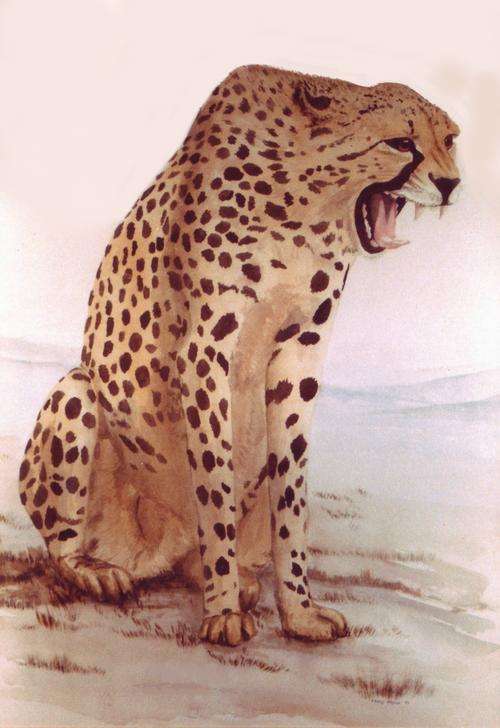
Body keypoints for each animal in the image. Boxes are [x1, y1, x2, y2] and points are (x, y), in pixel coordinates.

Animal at [19, 65, 460, 646]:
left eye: (449, 140)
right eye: (400, 143)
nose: (451, 184)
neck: (309, 202)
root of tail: (158, 552)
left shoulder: (301, 352)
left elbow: (289, 495)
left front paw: (298, 611)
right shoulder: (206, 352)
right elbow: (214, 486)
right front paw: (223, 611)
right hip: (77, 397)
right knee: (63, 540)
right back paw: (96, 570)